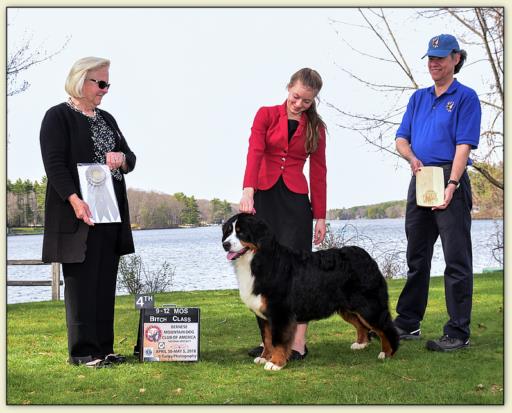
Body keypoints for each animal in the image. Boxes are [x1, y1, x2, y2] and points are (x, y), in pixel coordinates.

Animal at [222, 212, 398, 370]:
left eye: (241, 232)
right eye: (228, 231)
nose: (225, 244)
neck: (258, 260)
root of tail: (366, 256)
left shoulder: (280, 313)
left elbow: (278, 340)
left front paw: (276, 363)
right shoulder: (263, 314)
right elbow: (266, 338)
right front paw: (265, 357)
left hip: (369, 306)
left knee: (386, 328)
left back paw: (387, 353)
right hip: (348, 307)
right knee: (362, 325)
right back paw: (361, 344)